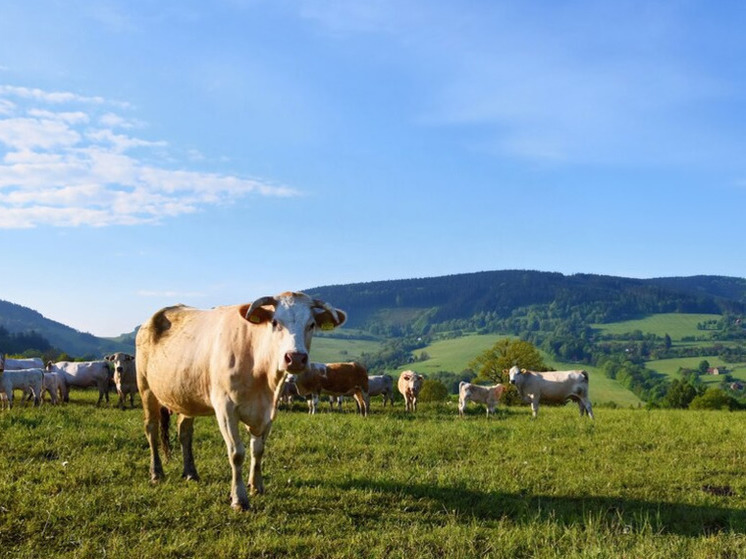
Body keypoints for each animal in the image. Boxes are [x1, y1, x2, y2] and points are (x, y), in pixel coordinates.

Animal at [135, 294, 344, 512]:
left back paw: (190, 472)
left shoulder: (268, 412)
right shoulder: (226, 409)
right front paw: (239, 498)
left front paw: (257, 486)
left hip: (186, 395)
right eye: (275, 322)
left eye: (311, 324)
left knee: (184, 432)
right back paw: (156, 473)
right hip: (146, 388)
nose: (295, 358)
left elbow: (258, 450)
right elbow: (237, 453)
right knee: (151, 429)